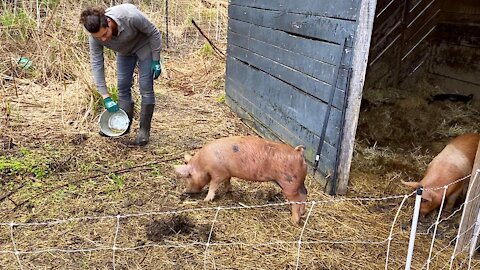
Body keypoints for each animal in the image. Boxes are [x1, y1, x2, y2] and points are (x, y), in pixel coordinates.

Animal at [175, 136, 308, 225]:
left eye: (188, 176)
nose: (186, 191)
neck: (203, 164)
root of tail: (298, 153)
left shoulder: (218, 173)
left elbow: (213, 185)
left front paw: (206, 200)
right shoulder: (227, 173)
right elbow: (228, 181)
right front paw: (228, 191)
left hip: (289, 182)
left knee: (296, 200)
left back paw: (294, 221)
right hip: (298, 182)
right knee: (304, 194)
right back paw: (302, 214)